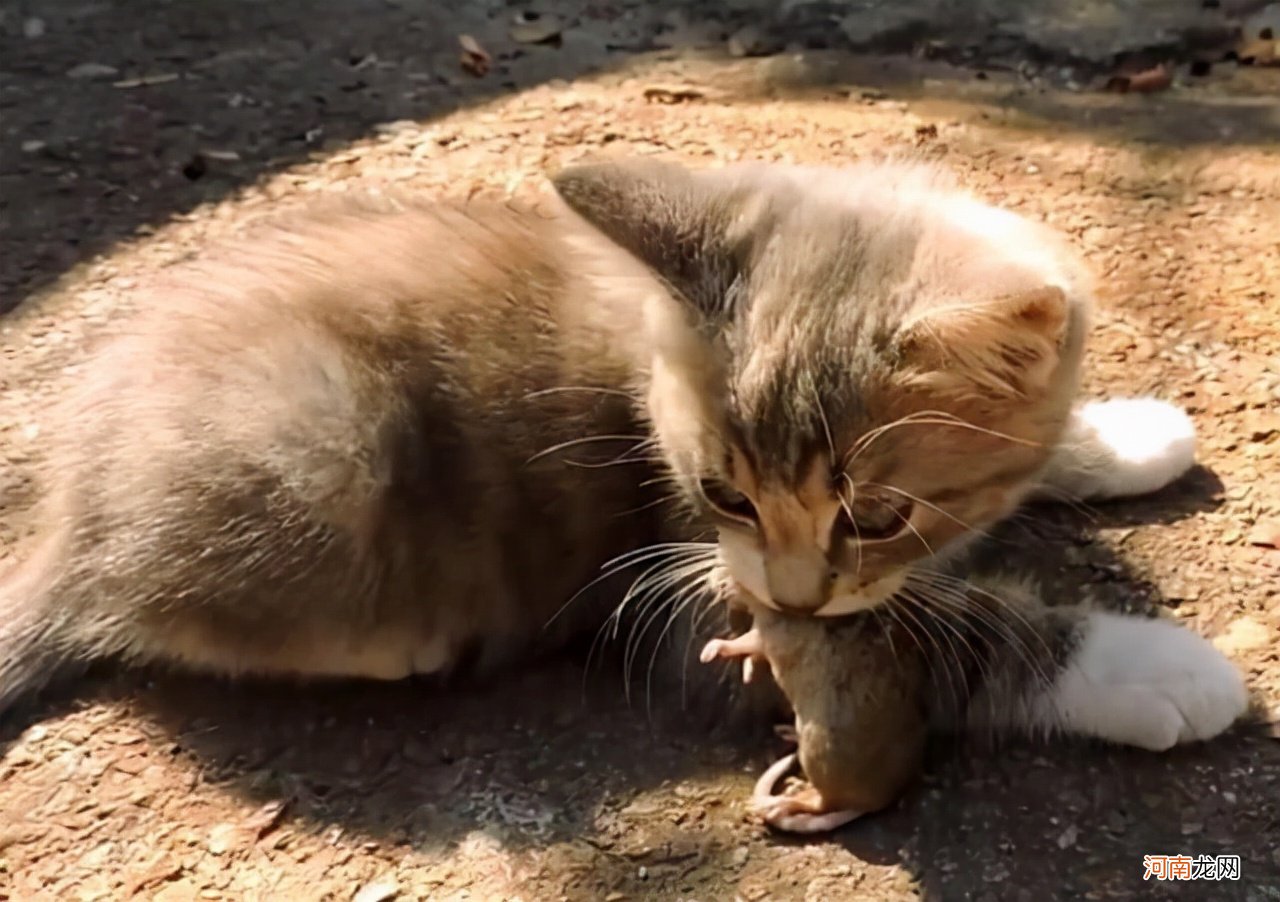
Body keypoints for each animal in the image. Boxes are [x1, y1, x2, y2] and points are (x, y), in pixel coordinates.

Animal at [0, 156, 1244, 752]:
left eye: (877, 514)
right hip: (318, 442)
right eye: (717, 492)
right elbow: (930, 638)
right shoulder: (695, 596)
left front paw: (1115, 435)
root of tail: (71, 518)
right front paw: (1150, 667)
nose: (792, 593)